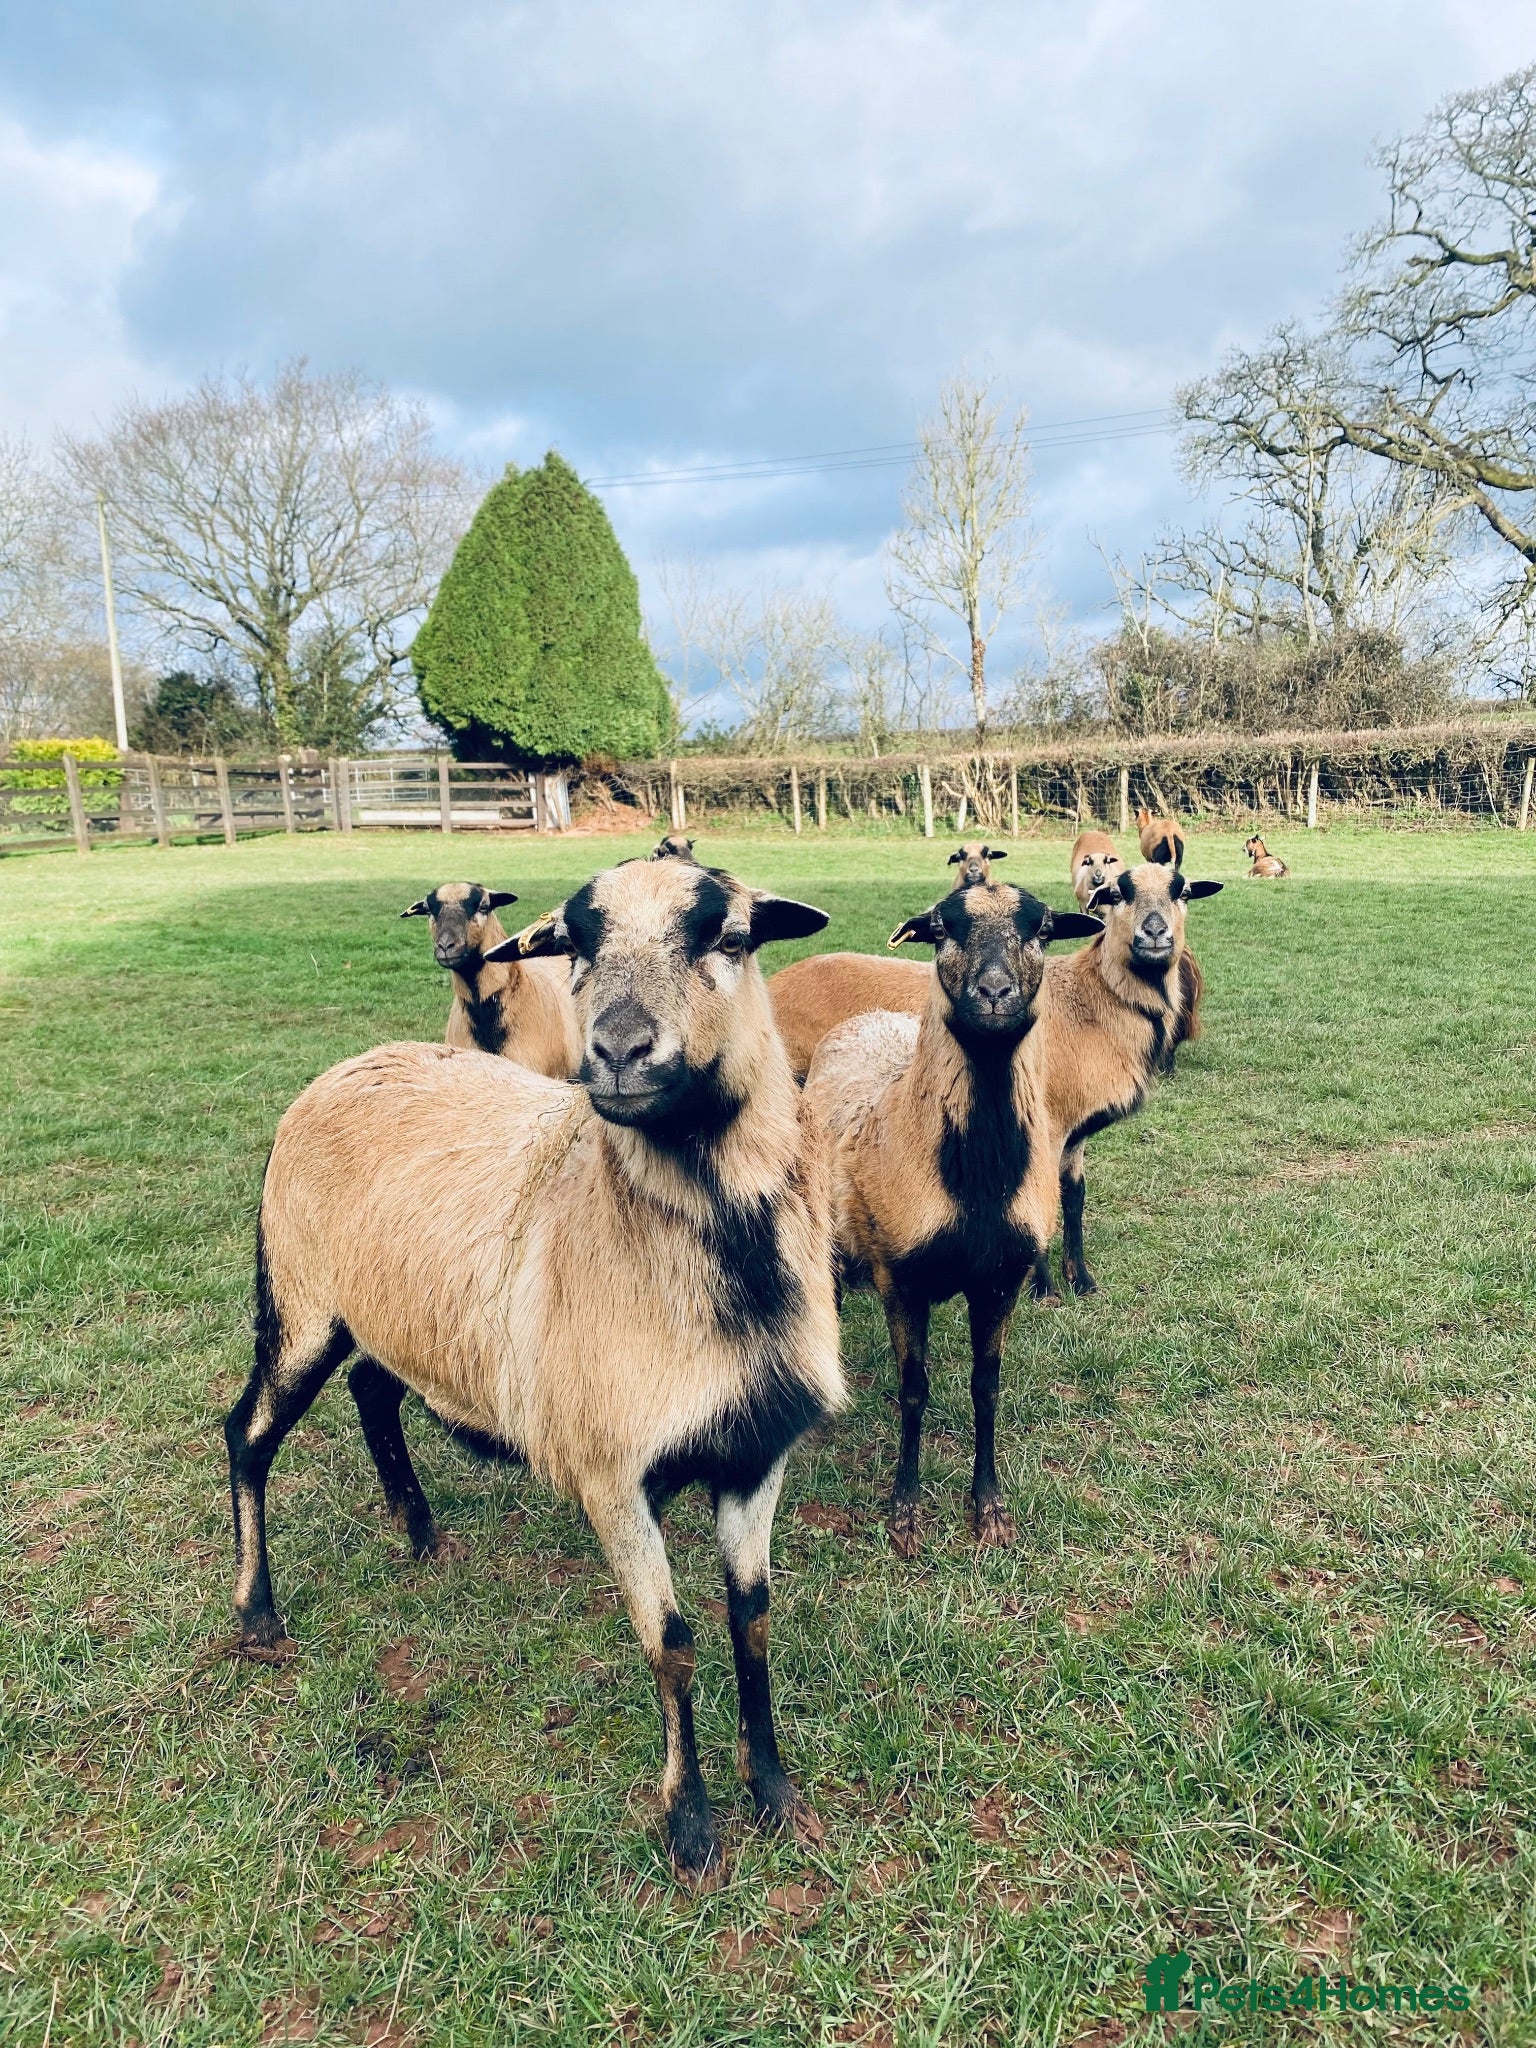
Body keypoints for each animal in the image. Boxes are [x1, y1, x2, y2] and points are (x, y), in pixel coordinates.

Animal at [802, 881, 1101, 1556]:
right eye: (941, 930)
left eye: (1044, 929)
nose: (994, 993)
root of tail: (869, 1018)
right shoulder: (901, 1277)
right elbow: (914, 1391)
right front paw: (905, 1512)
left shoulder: (1000, 1281)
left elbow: (984, 1389)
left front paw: (989, 1509)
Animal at [1030, 862, 1222, 1298]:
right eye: (1116, 895)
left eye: (1184, 892)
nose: (1154, 932)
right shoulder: (1046, 1124)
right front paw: (1043, 1290)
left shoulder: (1073, 1129)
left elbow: (1073, 1196)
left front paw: (1080, 1280)